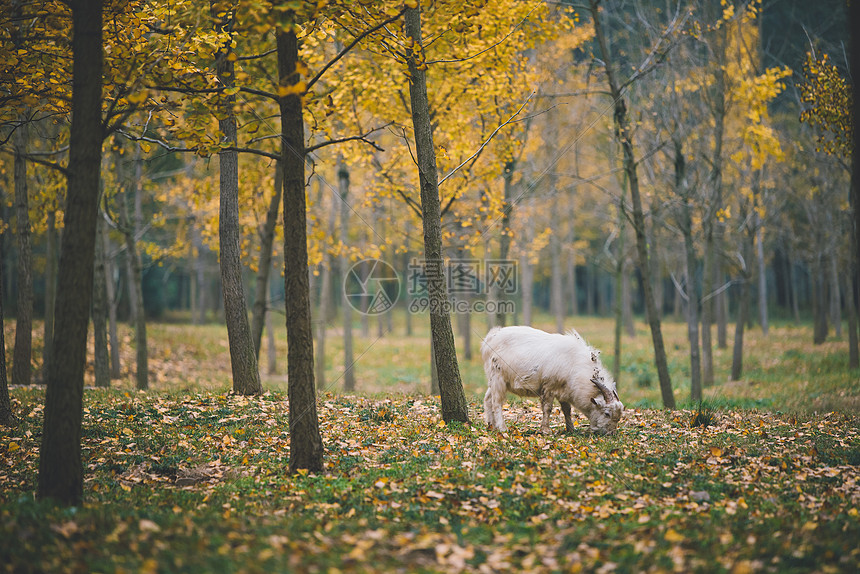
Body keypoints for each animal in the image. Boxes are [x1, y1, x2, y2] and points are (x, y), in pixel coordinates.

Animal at [480, 326, 620, 434]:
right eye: (607, 413)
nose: (610, 434)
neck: (575, 364)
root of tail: (491, 337)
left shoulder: (564, 391)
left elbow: (567, 410)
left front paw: (571, 429)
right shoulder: (549, 387)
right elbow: (547, 408)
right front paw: (545, 430)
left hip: (494, 380)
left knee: (488, 399)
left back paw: (491, 425)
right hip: (498, 378)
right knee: (497, 402)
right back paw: (502, 428)